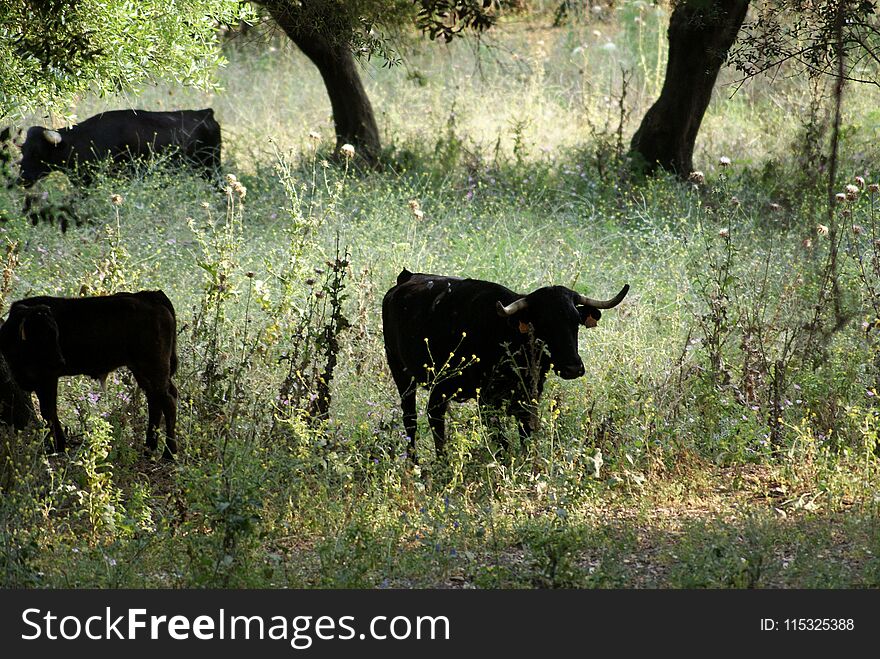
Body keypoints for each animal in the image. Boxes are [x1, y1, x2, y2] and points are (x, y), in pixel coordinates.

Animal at [0, 292, 179, 456]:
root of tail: (150, 296)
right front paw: (57, 445)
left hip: (153, 367)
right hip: (141, 370)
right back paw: (149, 447)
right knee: (155, 400)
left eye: (55, 333)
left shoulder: (47, 377)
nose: (60, 361)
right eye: (40, 334)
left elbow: (48, 410)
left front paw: (55, 447)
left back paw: (169, 453)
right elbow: (49, 411)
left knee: (167, 400)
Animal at [382, 270, 628, 462]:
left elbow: (526, 435)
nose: (573, 368)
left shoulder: (529, 397)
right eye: (543, 324)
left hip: (441, 385)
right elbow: (501, 442)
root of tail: (405, 279)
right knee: (411, 418)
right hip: (400, 371)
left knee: (435, 415)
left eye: (575, 321)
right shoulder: (486, 400)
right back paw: (414, 463)